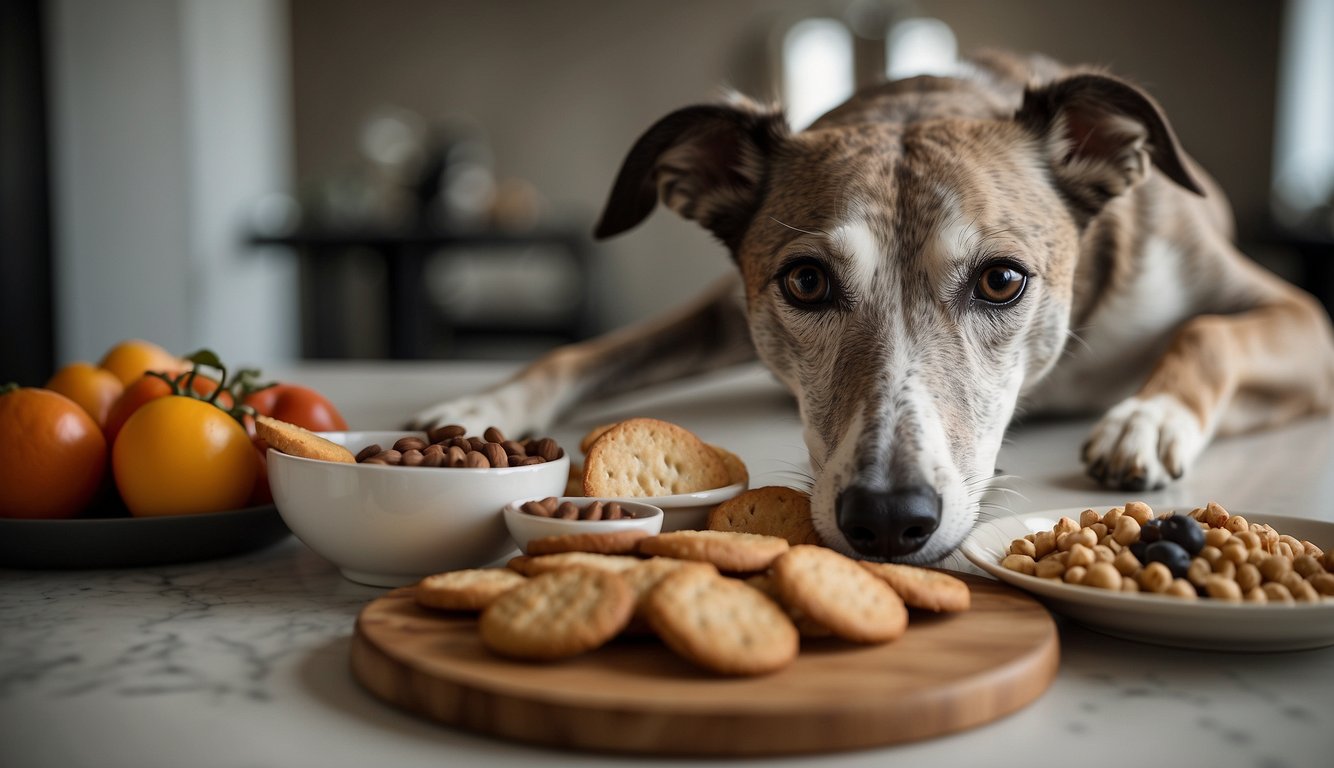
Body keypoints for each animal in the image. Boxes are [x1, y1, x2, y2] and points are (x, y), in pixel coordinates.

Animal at [408, 51, 1334, 560]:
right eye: (807, 282)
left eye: (1003, 280)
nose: (889, 521)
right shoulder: (729, 305)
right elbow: (588, 351)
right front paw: (484, 404)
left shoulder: (1300, 318)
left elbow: (1210, 331)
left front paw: (1147, 420)